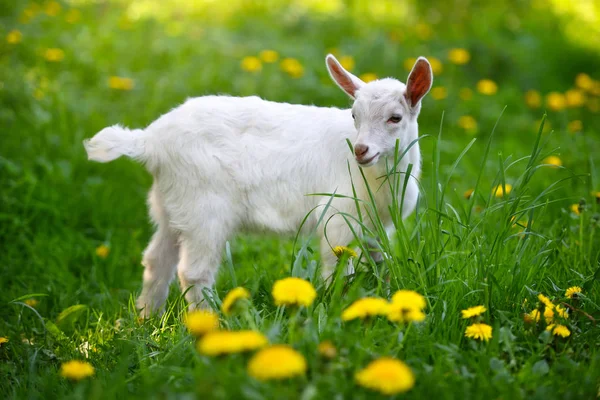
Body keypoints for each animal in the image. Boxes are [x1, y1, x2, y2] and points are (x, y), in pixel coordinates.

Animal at [83, 54, 432, 316]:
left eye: (395, 117)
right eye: (354, 115)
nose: (360, 150)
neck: (380, 178)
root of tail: (149, 141)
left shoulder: (376, 224)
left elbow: (380, 262)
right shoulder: (337, 216)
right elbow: (338, 269)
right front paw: (339, 309)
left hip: (170, 204)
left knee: (156, 260)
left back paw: (146, 319)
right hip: (205, 207)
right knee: (193, 271)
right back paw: (209, 325)